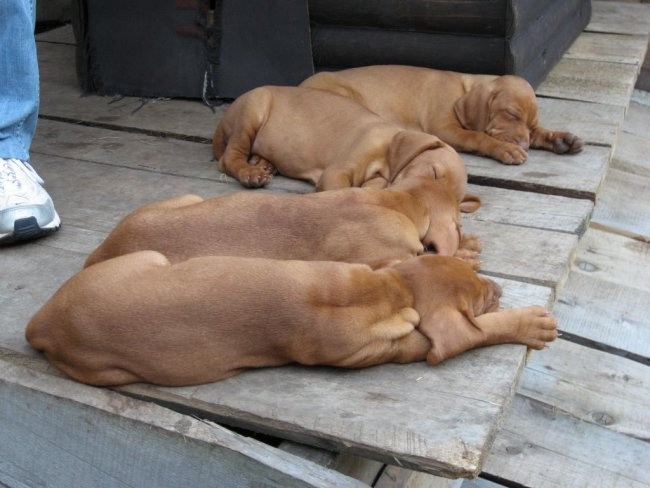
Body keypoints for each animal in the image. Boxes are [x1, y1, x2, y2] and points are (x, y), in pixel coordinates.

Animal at [22, 252, 556, 386]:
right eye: (481, 299)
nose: (500, 288)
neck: (388, 289)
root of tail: (41, 321)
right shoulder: (384, 349)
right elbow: (469, 336)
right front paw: (528, 322)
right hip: (110, 373)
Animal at [213, 86, 470, 204]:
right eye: (434, 173)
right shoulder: (338, 171)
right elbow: (344, 191)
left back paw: (264, 164)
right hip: (253, 110)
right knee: (229, 157)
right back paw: (251, 172)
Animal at [298, 65, 584, 165]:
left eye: (530, 123)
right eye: (511, 114)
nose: (523, 145)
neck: (464, 87)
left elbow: (540, 133)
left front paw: (560, 139)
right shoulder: (444, 128)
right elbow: (479, 137)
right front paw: (506, 149)